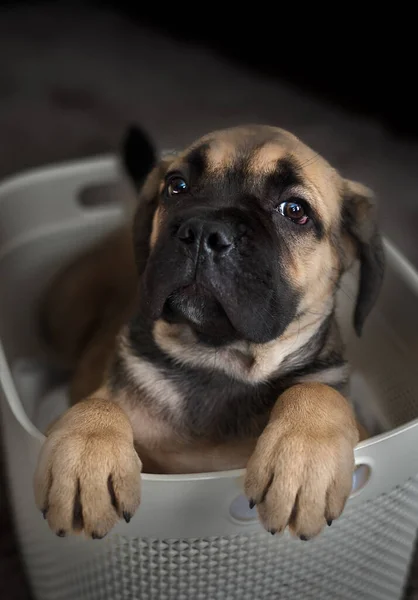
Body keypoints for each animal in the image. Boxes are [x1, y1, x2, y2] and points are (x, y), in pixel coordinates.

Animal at [34, 124, 384, 540]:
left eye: (295, 211)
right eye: (177, 186)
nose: (203, 231)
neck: (220, 362)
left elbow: (316, 390)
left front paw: (304, 455)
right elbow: (99, 403)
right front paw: (87, 449)